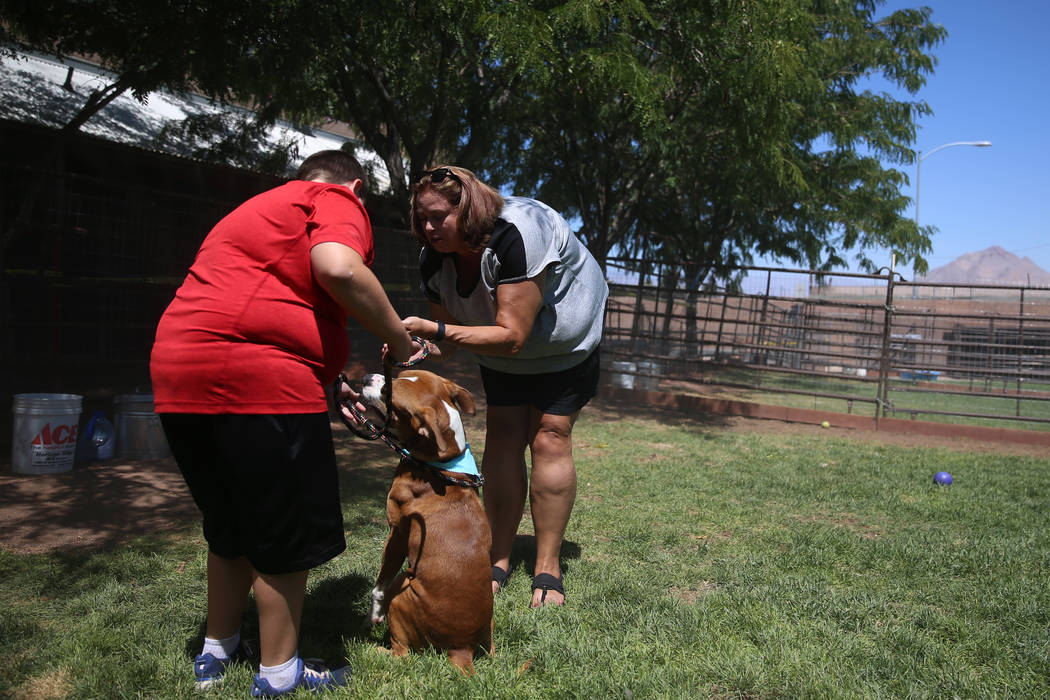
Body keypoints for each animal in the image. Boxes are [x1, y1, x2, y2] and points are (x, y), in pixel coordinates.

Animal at [352, 369, 491, 675]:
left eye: (389, 395)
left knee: (401, 653)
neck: (443, 465)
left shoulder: (397, 534)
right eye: (400, 373)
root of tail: (462, 650)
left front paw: (371, 618)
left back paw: (377, 649)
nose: (367, 377)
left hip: (403, 586)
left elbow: (378, 587)